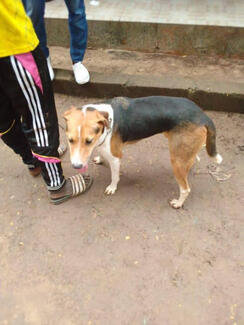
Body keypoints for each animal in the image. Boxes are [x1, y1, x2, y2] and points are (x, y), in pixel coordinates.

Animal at [63, 96, 223, 208]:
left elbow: (114, 176)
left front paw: (112, 188)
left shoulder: (116, 157)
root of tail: (203, 115)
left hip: (176, 160)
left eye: (88, 141)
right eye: (70, 140)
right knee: (193, 159)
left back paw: (178, 203)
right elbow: (102, 152)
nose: (76, 166)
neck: (106, 119)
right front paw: (100, 159)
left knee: (185, 189)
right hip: (182, 151)